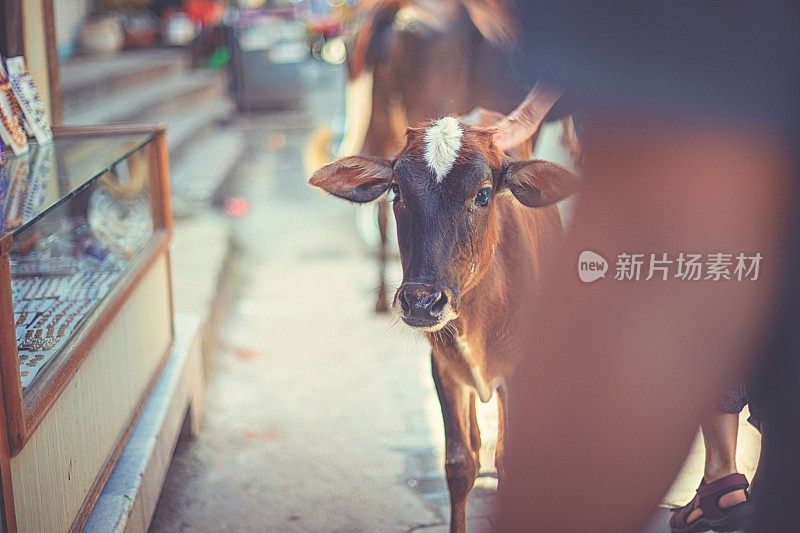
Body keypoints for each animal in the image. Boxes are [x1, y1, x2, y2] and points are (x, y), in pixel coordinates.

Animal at [310, 102, 580, 528]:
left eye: (483, 194)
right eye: (396, 190)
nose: (422, 302)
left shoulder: (517, 376)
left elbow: (510, 464)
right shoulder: (444, 370)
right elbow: (459, 464)